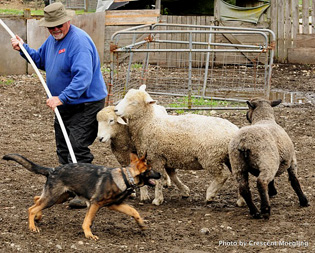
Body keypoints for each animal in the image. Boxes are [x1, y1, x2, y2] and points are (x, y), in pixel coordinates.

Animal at [1, 152, 160, 239]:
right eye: (151, 169)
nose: (160, 174)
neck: (126, 177)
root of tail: (52, 170)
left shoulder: (114, 204)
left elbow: (134, 211)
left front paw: (141, 224)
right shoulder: (95, 203)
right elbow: (88, 221)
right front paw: (89, 234)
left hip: (61, 197)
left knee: (36, 199)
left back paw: (38, 218)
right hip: (54, 198)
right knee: (31, 209)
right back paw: (33, 226)